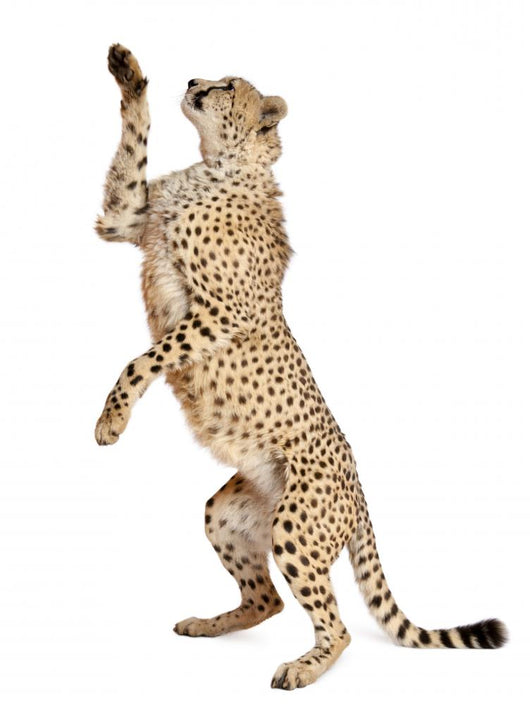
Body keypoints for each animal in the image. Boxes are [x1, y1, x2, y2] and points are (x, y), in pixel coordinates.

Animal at [94, 44, 507, 690]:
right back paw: (210, 624)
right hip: (229, 513)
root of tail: (360, 492)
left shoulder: (223, 314)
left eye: (228, 84)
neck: (219, 165)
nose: (193, 81)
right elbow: (132, 144)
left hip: (295, 524)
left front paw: (111, 421)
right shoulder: (124, 217)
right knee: (267, 600)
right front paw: (128, 71)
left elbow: (141, 359)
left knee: (336, 626)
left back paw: (303, 668)